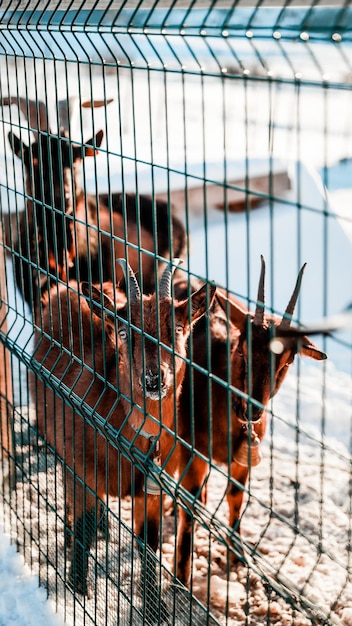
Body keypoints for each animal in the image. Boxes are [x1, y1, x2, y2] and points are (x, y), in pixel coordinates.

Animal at [32, 256, 214, 608]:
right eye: (124, 331)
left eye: (179, 329)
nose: (154, 379)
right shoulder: (82, 471)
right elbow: (84, 529)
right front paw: (78, 588)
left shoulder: (152, 490)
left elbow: (149, 542)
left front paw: (153, 604)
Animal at [176, 255, 328, 584]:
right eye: (242, 348)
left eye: (288, 361)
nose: (253, 411)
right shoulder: (192, 450)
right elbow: (188, 506)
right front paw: (180, 576)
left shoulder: (242, 461)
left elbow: (235, 498)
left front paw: (237, 555)